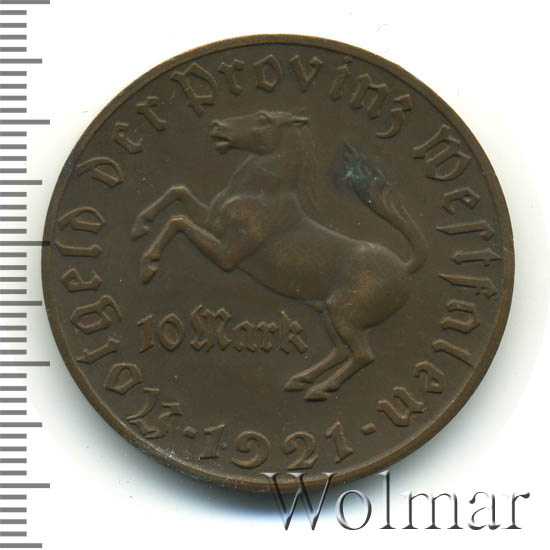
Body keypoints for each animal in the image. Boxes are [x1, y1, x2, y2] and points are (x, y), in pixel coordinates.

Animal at [131, 109, 427, 401]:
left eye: (263, 118)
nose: (217, 125)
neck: (257, 193)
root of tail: (405, 267)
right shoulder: (212, 223)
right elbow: (178, 192)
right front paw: (140, 225)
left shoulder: (228, 256)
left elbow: (178, 221)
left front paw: (148, 265)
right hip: (328, 312)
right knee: (342, 351)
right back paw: (299, 380)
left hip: (345, 314)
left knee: (363, 354)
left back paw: (320, 389)